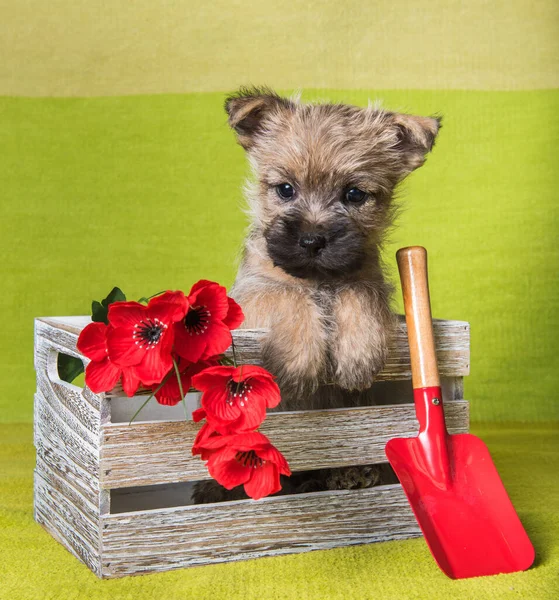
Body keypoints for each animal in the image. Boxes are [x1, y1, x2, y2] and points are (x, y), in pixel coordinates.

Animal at [195, 86, 440, 504]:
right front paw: (299, 359)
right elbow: (287, 295)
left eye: (354, 194)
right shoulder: (250, 300)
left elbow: (358, 293)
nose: (312, 240)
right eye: (285, 189)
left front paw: (358, 353)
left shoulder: (370, 285)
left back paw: (350, 473)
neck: (317, 281)